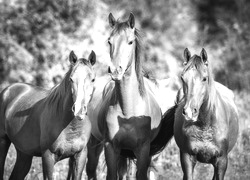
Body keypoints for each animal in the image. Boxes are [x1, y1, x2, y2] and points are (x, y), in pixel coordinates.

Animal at [0, 49, 95, 180]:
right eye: (71, 79)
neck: (70, 126)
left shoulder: (80, 156)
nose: (79, 110)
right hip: (3, 141)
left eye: (93, 79)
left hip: (24, 154)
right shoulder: (48, 157)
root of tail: (8, 90)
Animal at [85, 13, 176, 180]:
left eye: (130, 41)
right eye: (109, 41)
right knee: (91, 169)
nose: (116, 70)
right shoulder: (110, 147)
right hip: (95, 144)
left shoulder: (143, 149)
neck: (127, 111)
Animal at [173, 47, 239, 180]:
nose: (189, 112)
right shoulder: (187, 158)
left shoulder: (222, 161)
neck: (205, 125)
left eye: (204, 78)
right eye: (182, 78)